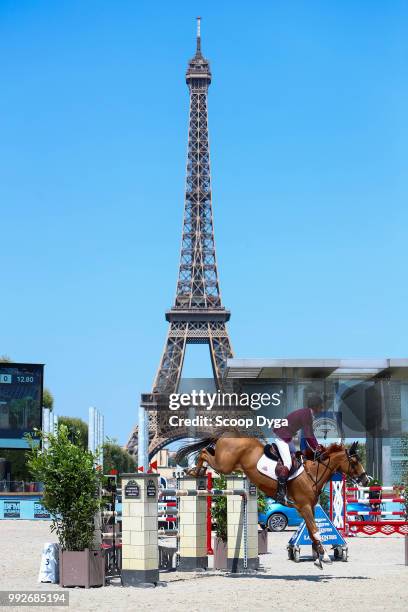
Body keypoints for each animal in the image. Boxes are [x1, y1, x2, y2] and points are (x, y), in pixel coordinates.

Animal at [175, 436, 370, 568]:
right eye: (354, 461)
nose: (366, 480)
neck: (312, 474)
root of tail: (226, 436)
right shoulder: (305, 507)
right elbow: (315, 531)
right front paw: (325, 557)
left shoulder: (309, 508)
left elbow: (313, 531)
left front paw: (318, 557)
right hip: (225, 465)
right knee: (204, 452)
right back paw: (194, 471)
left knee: (207, 451)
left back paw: (196, 471)